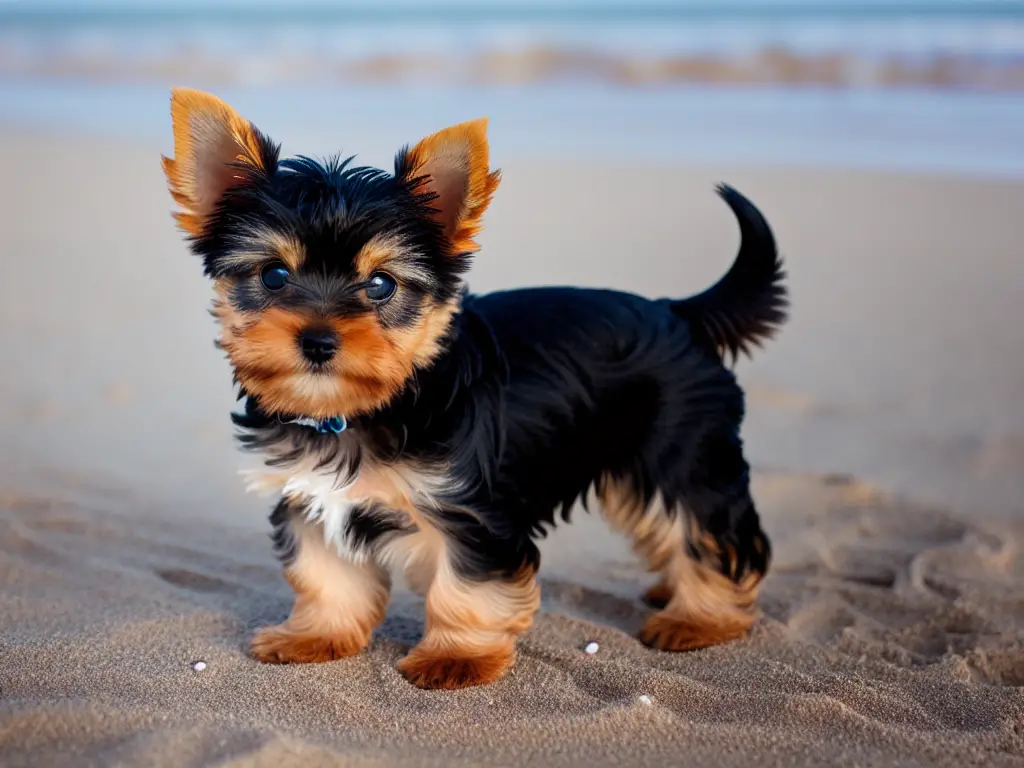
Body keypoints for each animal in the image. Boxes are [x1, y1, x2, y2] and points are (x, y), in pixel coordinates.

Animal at [165, 87, 790, 688]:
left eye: (381, 285)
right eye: (273, 275)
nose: (318, 341)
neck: (363, 408)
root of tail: (676, 313)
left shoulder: (474, 511)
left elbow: (468, 588)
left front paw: (456, 657)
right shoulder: (308, 497)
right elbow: (325, 575)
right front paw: (316, 635)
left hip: (680, 451)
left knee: (707, 529)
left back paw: (700, 617)